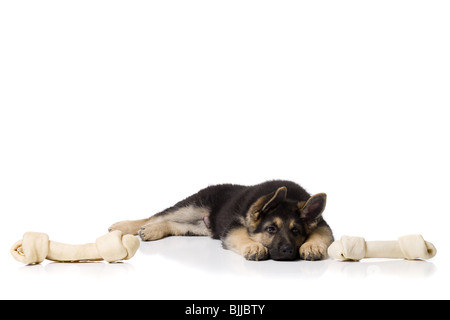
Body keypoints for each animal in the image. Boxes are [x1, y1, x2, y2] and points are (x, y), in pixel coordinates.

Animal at [109, 180, 334, 260]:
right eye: (271, 229)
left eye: (296, 231)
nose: (288, 251)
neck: (291, 197)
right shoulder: (234, 227)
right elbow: (242, 235)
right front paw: (254, 246)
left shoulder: (322, 225)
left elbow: (321, 233)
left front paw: (311, 246)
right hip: (191, 206)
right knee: (155, 216)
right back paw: (125, 226)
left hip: (199, 227)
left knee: (173, 225)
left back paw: (153, 230)